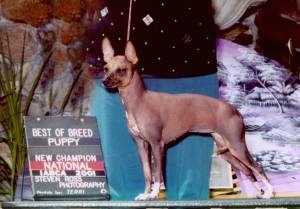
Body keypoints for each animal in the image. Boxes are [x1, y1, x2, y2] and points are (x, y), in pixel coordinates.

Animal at [101, 37, 274, 201]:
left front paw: (154, 194)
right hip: (227, 151)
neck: (139, 101)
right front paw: (145, 194)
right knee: (248, 170)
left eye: (121, 70)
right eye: (106, 68)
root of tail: (234, 109)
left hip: (236, 146)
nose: (104, 81)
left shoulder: (157, 145)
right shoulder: (142, 146)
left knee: (257, 167)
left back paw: (269, 193)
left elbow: (157, 174)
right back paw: (259, 193)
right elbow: (147, 173)